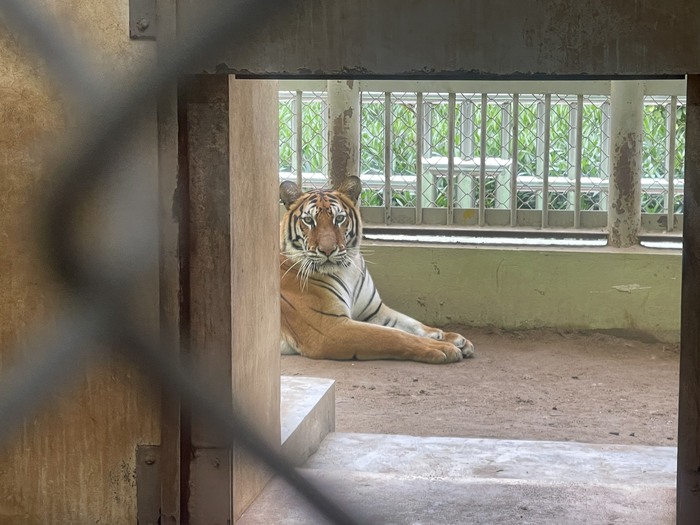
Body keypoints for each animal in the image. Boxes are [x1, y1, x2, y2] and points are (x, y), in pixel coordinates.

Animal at [278, 174, 476, 362]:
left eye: (339, 218)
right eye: (309, 220)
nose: (327, 250)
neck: (347, 270)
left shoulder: (374, 311)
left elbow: (413, 324)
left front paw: (453, 338)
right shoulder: (328, 327)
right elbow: (393, 335)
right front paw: (442, 347)